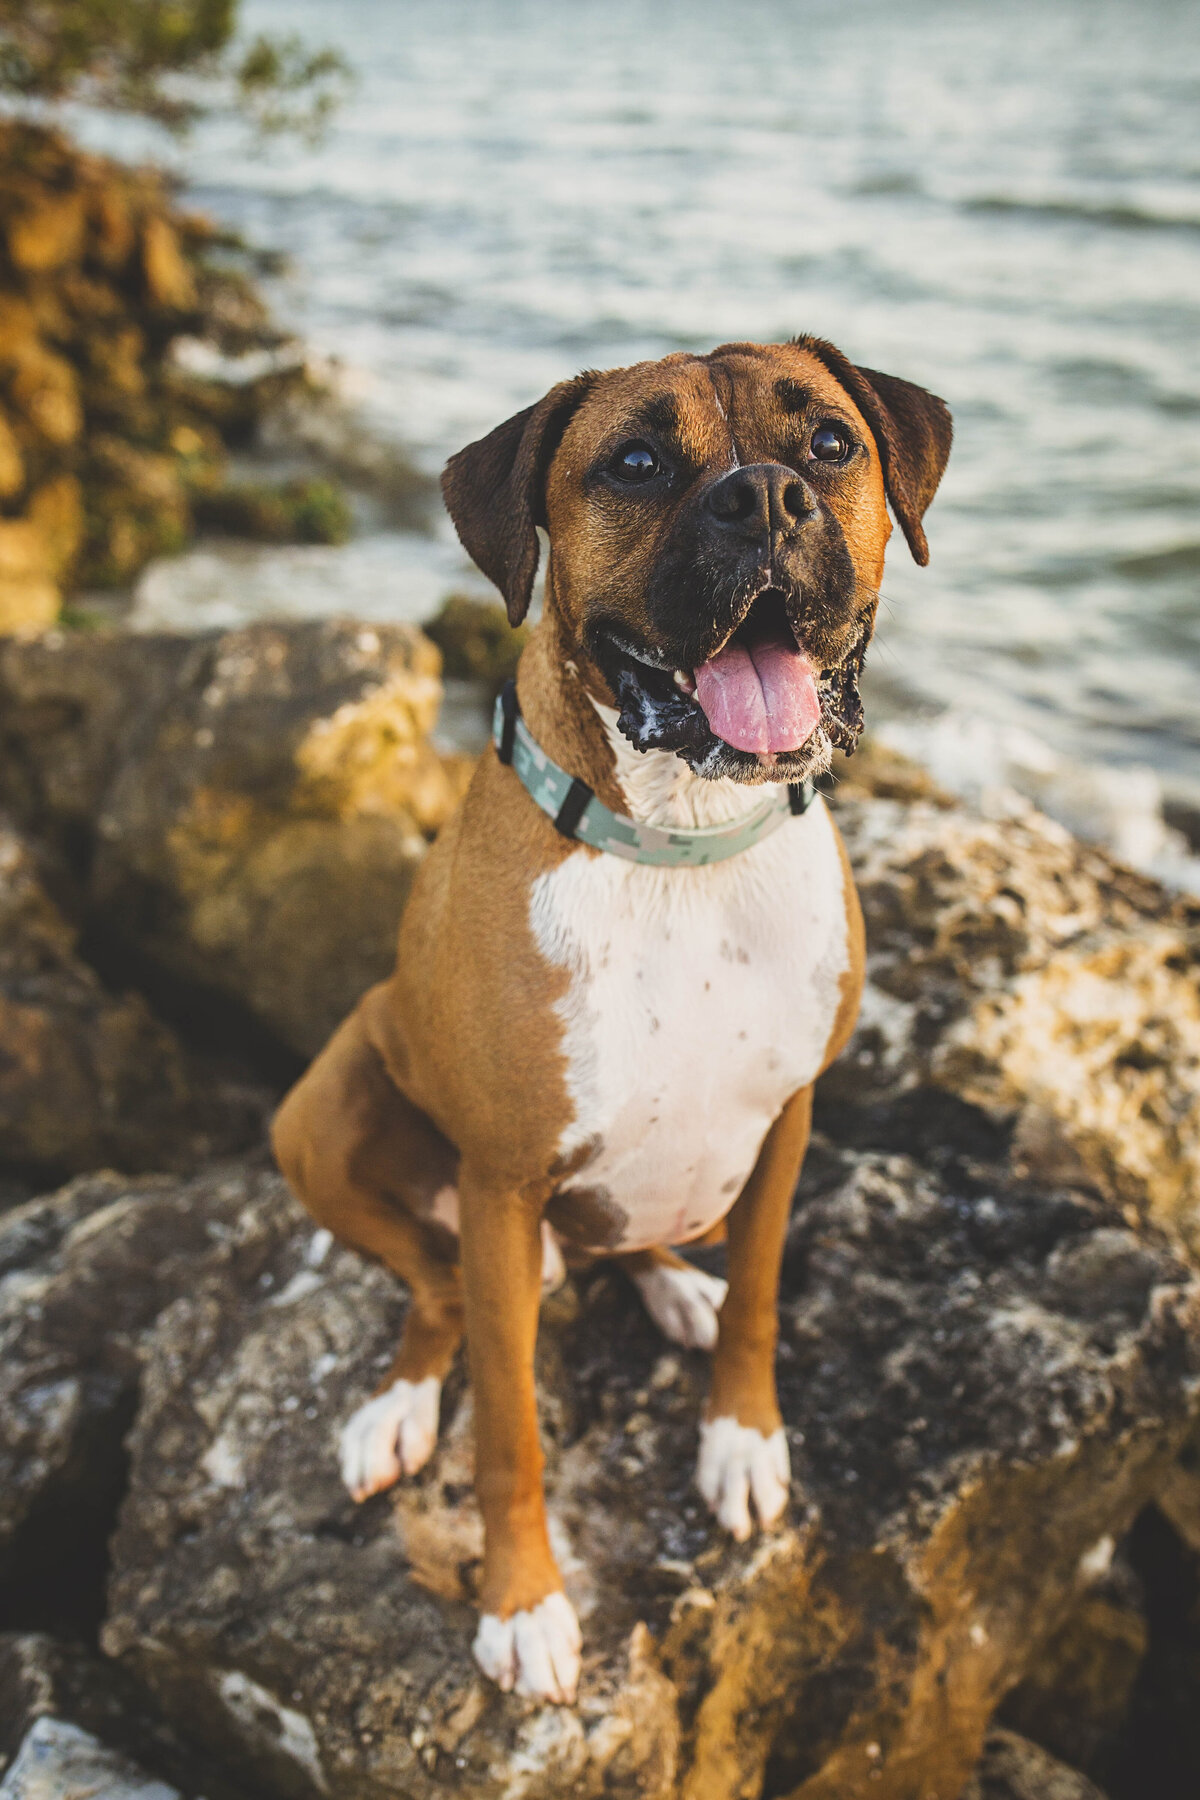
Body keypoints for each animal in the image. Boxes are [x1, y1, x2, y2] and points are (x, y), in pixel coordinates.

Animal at [269, 334, 949, 1699]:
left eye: (831, 445)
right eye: (633, 463)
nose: (767, 499)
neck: (680, 846)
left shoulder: (789, 1120)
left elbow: (760, 1300)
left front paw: (740, 1438)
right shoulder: (500, 1184)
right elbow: (510, 1430)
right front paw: (523, 1604)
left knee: (627, 1245)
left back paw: (668, 1285)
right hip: (322, 1114)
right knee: (435, 1294)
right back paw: (397, 1409)